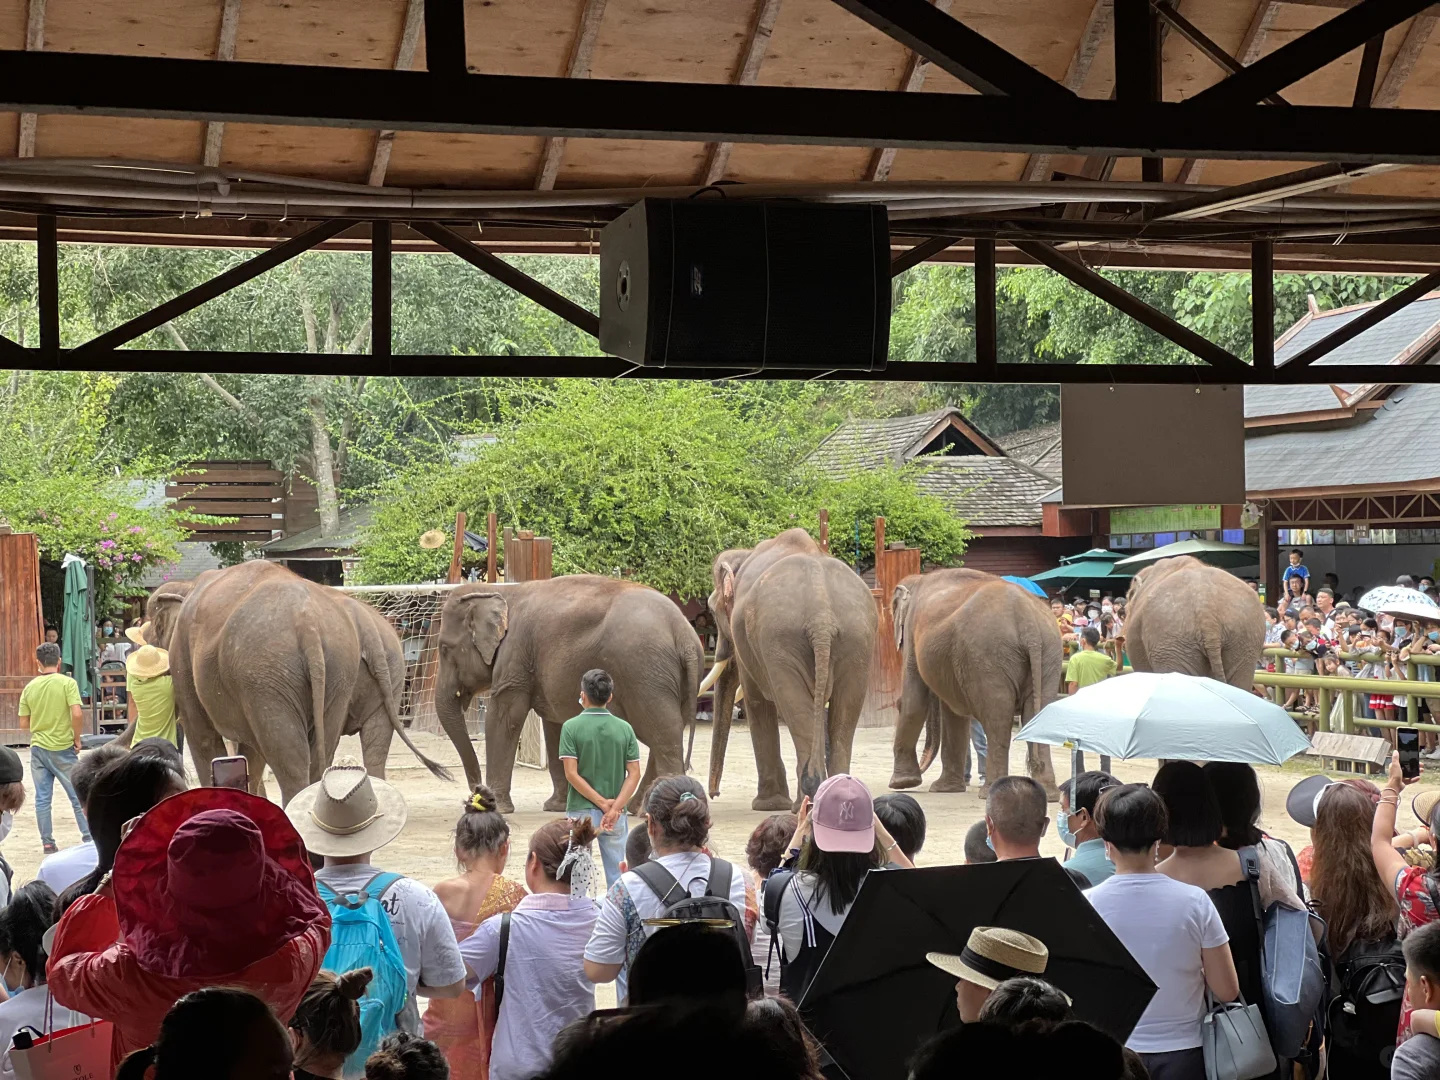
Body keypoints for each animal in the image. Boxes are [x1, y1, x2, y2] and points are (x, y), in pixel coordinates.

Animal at [144, 560, 449, 804]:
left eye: (154, 629)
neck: (188, 585)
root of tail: (308, 623)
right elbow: (251, 752)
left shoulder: (184, 658)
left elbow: (204, 737)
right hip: (343, 672)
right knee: (356, 748)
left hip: (266, 674)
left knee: (290, 761)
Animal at [434, 575, 705, 816]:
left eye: (445, 649)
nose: (475, 795)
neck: (502, 591)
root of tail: (684, 635)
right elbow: (555, 727)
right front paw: (556, 806)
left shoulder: (515, 655)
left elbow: (505, 718)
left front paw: (498, 807)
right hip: (672, 680)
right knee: (666, 732)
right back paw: (637, 808)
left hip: (645, 674)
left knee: (664, 734)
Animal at [704, 528, 877, 810]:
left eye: (712, 608)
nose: (714, 794)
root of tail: (821, 613)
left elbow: (755, 700)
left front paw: (768, 806)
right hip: (857, 640)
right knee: (845, 707)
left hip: (780, 639)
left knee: (792, 703)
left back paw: (803, 803)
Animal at [888, 569, 1061, 797]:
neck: (918, 579)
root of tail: (1028, 623)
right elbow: (953, 712)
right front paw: (945, 789)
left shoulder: (911, 634)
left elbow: (913, 700)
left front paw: (901, 784)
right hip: (1049, 655)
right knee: (1038, 713)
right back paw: (1049, 794)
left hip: (988, 656)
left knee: (997, 719)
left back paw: (989, 792)